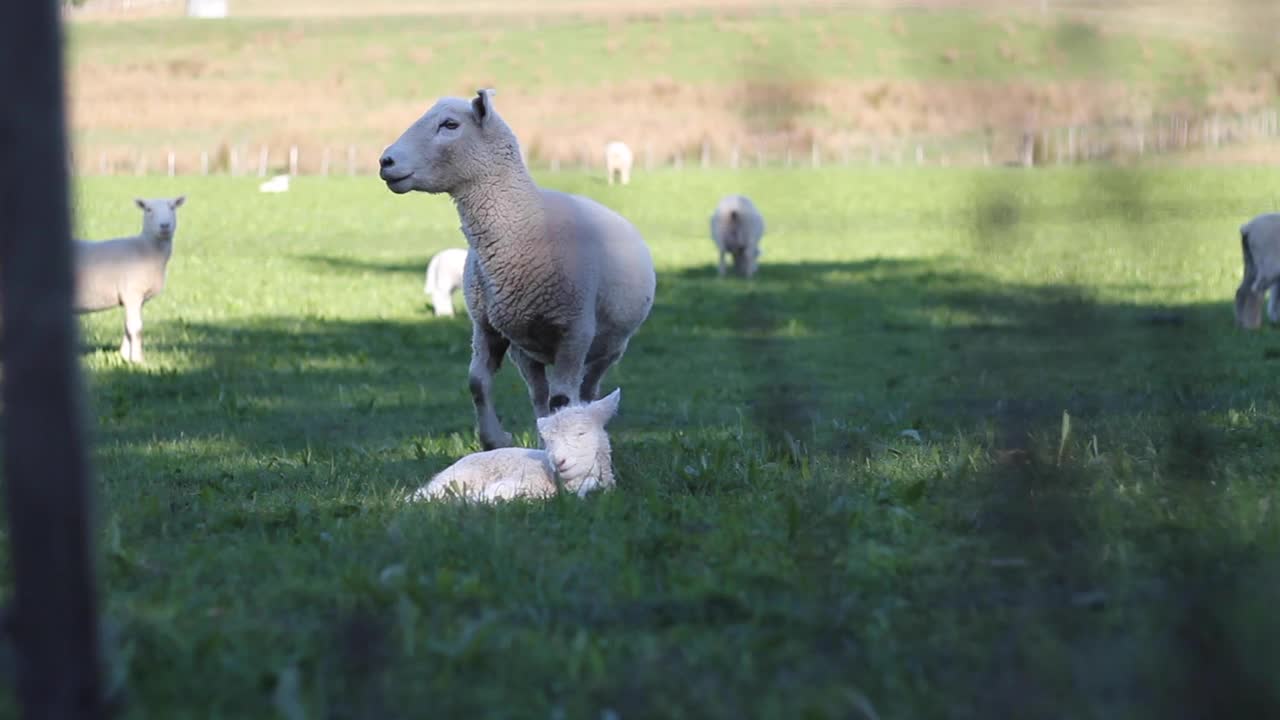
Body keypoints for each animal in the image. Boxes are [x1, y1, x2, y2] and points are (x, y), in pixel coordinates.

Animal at [73, 194, 185, 361]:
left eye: (172, 207)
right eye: (148, 209)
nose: (164, 226)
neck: (145, 249)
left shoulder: (137, 298)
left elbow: (127, 326)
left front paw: (125, 358)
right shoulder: (132, 292)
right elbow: (136, 328)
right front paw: (138, 360)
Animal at [376, 89, 660, 448]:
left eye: (450, 125)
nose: (385, 162)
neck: (523, 226)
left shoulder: (574, 331)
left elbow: (562, 401)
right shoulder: (486, 326)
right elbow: (477, 383)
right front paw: (495, 440)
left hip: (608, 348)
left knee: (584, 393)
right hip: (527, 350)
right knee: (539, 397)